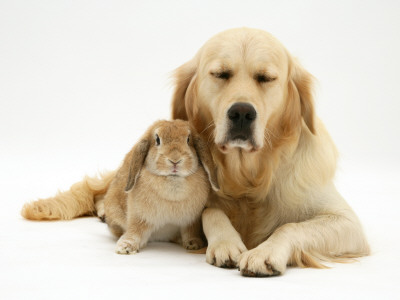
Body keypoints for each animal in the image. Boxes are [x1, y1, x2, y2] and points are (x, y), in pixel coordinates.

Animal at [101, 119, 219, 253]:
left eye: (188, 139)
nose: (175, 160)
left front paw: (194, 244)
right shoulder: (139, 217)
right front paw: (125, 247)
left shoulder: (191, 221)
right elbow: (135, 231)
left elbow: (190, 232)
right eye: (157, 139)